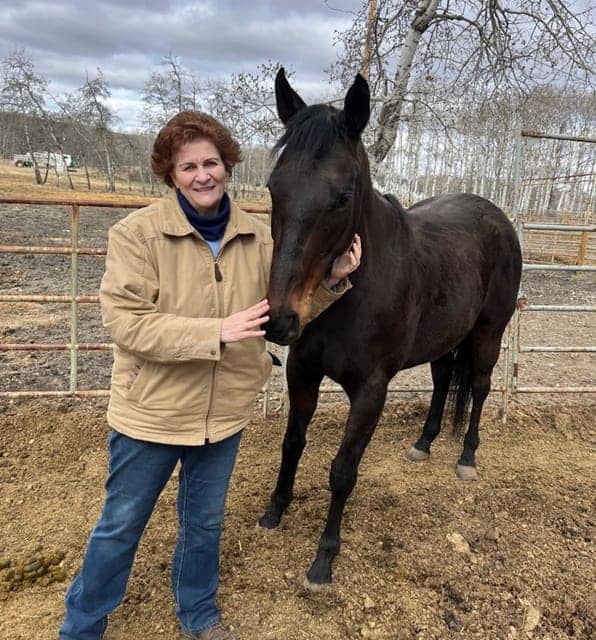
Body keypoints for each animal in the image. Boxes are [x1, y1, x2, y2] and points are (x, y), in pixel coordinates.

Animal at [260, 68, 522, 589]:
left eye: (342, 198)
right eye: (274, 189)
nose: (281, 319)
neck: (353, 293)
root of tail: (497, 216)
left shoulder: (371, 390)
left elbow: (343, 470)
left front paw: (324, 558)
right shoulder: (302, 371)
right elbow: (292, 443)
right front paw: (275, 510)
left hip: (489, 332)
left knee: (480, 387)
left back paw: (466, 458)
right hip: (446, 339)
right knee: (443, 382)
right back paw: (423, 444)